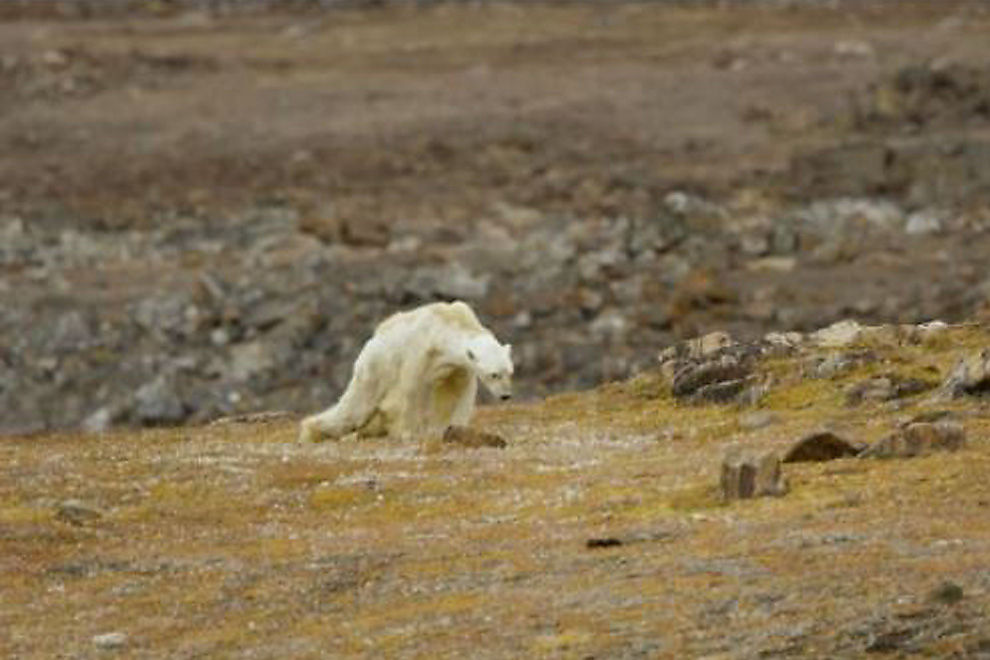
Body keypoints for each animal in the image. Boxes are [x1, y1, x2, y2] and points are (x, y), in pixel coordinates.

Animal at [298, 302, 516, 440]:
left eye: (510, 372)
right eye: (494, 374)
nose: (506, 395)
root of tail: (372, 339)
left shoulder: (457, 367)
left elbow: (456, 394)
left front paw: (452, 428)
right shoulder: (419, 352)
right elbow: (410, 390)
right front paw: (407, 432)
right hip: (376, 366)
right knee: (355, 406)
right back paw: (313, 430)